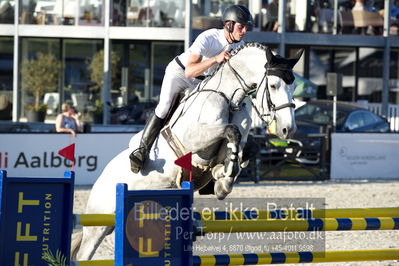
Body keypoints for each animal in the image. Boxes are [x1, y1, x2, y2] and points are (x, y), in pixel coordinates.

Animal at [72, 43, 304, 260]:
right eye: (273, 85)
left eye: (293, 86)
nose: (288, 129)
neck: (229, 98)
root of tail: (101, 178)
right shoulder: (195, 138)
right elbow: (231, 131)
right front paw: (224, 179)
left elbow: (244, 147)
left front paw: (222, 178)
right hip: (97, 225)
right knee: (85, 253)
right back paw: (137, 158)